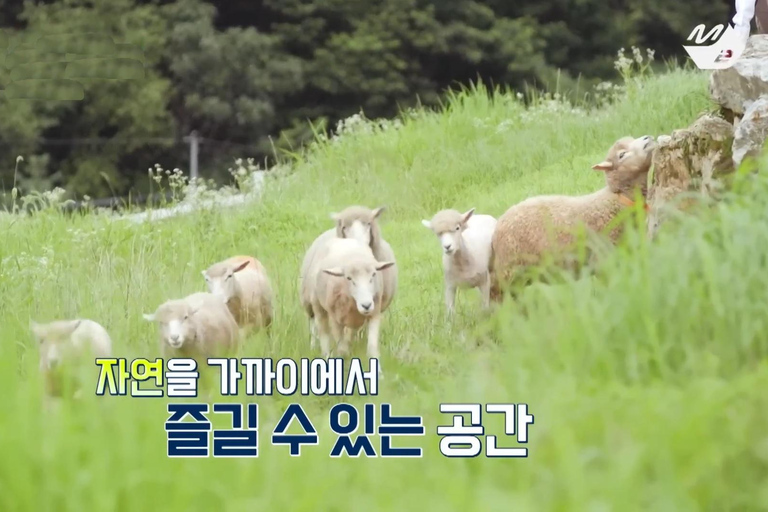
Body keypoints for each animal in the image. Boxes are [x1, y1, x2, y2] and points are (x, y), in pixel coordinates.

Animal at [310, 237, 395, 374]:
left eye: (373, 275)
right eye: (349, 278)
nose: (366, 305)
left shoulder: (374, 314)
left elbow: (372, 348)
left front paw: (378, 373)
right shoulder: (335, 320)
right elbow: (342, 349)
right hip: (318, 307)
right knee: (324, 336)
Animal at [490, 135, 656, 300]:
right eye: (621, 155)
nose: (647, 138)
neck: (617, 199)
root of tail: (498, 223)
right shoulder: (602, 260)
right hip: (509, 275)